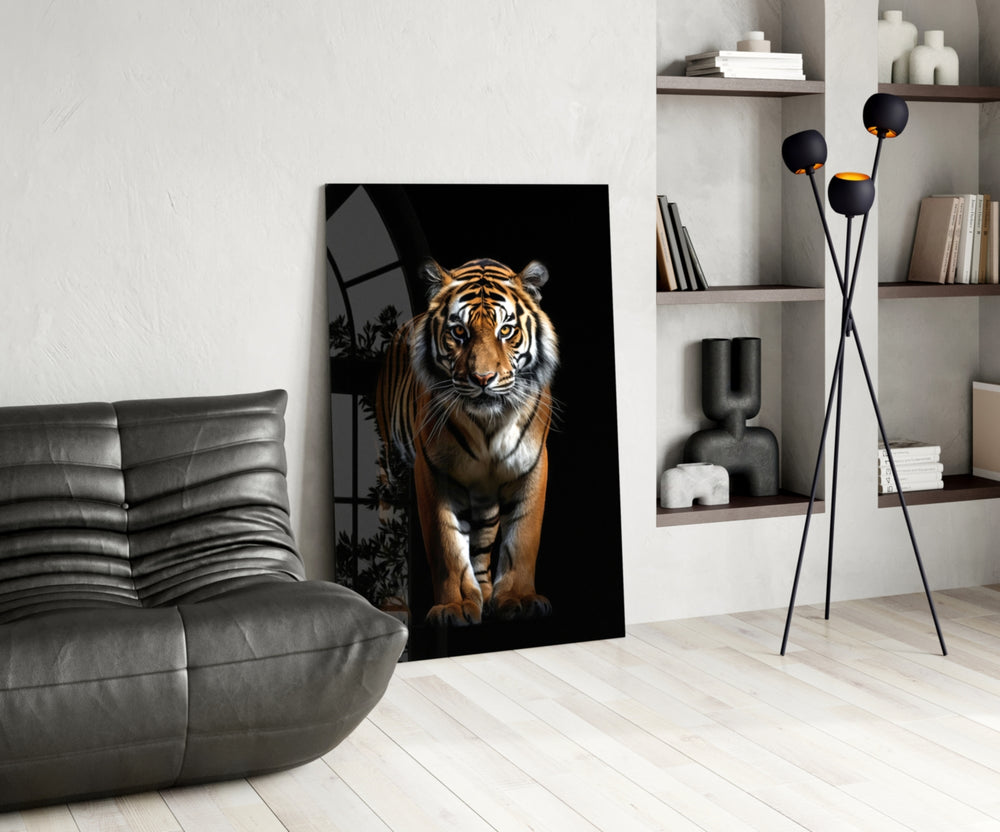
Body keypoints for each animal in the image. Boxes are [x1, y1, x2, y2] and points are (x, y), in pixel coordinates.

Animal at [375, 257, 559, 627]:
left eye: (506, 331)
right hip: (393, 468)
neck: (490, 424)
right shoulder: (433, 471)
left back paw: (486, 594)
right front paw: (456, 606)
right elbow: (446, 543)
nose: (483, 378)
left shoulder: (532, 464)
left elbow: (523, 537)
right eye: (459, 332)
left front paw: (519, 599)